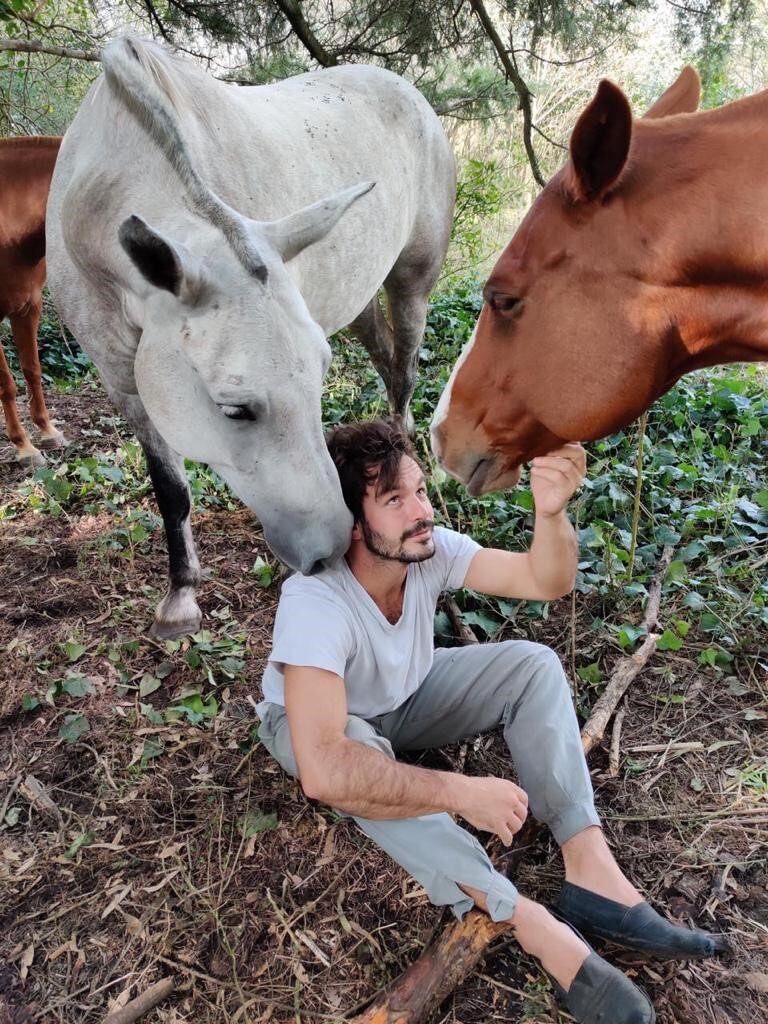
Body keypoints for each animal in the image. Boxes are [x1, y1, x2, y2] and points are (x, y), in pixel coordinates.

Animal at [46, 36, 456, 634]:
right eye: (234, 410)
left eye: (318, 380)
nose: (330, 551)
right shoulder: (124, 381)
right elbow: (170, 489)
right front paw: (181, 594)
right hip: (359, 299)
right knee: (385, 357)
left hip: (412, 283)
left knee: (403, 368)